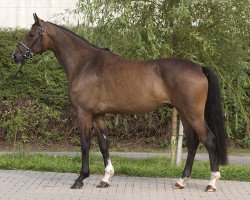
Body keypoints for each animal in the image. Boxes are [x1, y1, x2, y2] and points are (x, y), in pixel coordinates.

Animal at [11, 13, 228, 191]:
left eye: (31, 33)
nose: (16, 56)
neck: (84, 63)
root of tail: (199, 67)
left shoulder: (83, 113)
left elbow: (85, 144)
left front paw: (80, 179)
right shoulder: (97, 115)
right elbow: (103, 144)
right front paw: (105, 179)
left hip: (193, 114)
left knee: (209, 140)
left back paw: (211, 183)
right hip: (183, 113)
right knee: (192, 143)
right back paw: (181, 181)